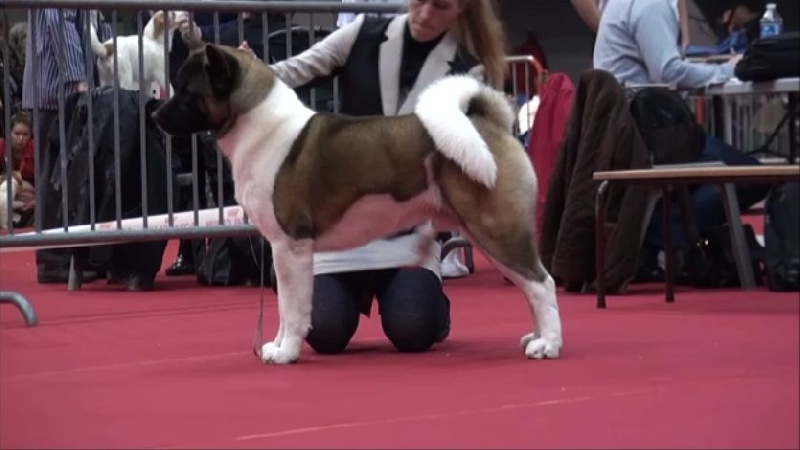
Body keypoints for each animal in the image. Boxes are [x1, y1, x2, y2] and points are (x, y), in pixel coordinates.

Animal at [152, 44, 563, 365]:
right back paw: (536, 337)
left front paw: (286, 352)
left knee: (541, 283)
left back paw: (550, 345)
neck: (259, 125)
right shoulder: (282, 251)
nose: (154, 114)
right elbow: (286, 307)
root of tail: (489, 124)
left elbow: (293, 307)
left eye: (187, 90)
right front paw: (278, 345)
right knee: (530, 287)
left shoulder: (291, 247)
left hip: (495, 227)